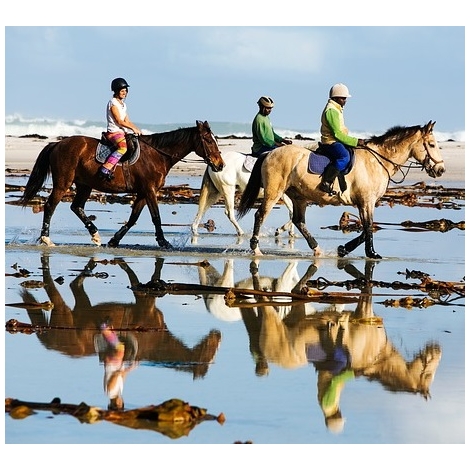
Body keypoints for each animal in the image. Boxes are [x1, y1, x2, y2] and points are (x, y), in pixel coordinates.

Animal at [18, 119, 224, 248]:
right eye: (208, 140)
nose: (220, 164)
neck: (157, 155)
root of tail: (57, 144)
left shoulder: (143, 192)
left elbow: (133, 218)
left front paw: (114, 240)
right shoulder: (149, 190)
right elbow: (156, 217)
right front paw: (163, 242)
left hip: (85, 185)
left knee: (76, 207)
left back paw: (95, 234)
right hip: (63, 183)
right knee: (50, 206)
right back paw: (46, 239)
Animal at [239, 121, 444, 258]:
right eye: (432, 144)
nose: (441, 170)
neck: (377, 160)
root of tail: (269, 153)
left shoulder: (365, 203)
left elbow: (366, 229)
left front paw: (344, 249)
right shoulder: (366, 201)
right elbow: (368, 228)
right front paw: (370, 253)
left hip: (299, 197)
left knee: (298, 221)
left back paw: (317, 249)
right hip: (274, 192)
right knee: (260, 215)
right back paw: (256, 249)